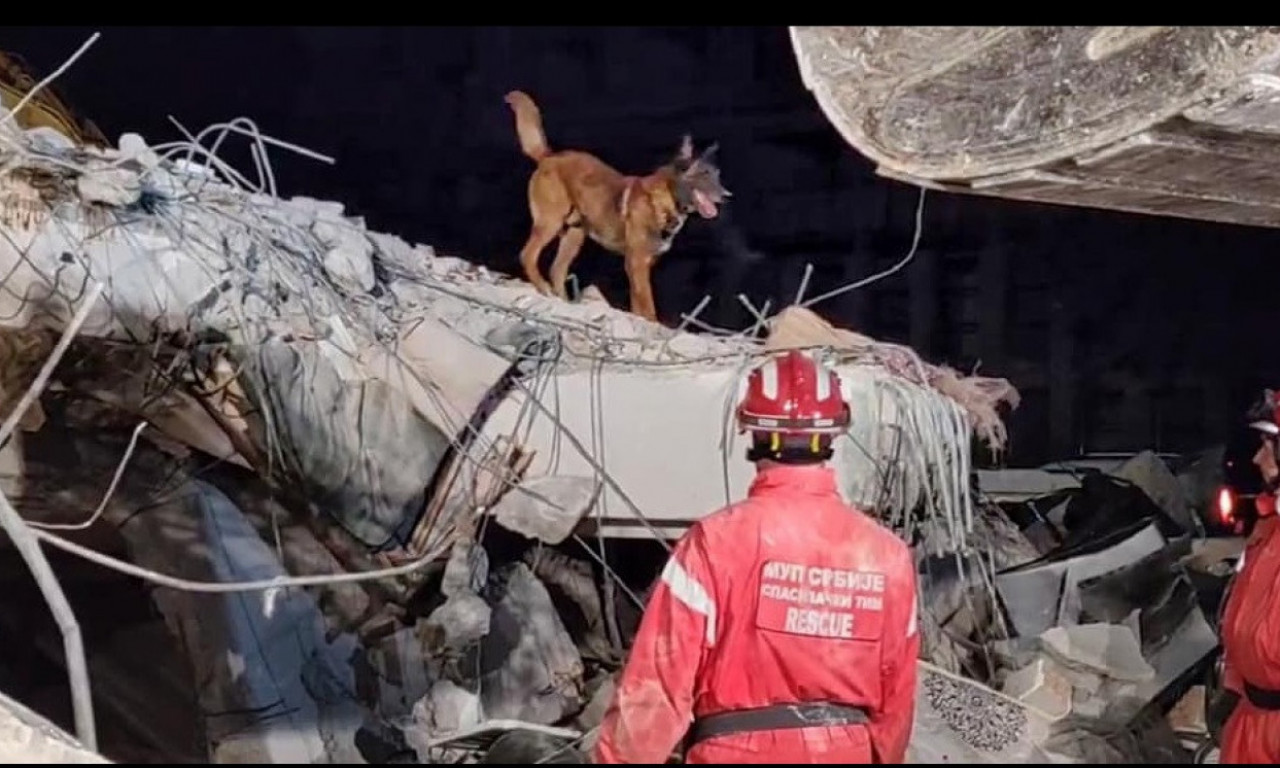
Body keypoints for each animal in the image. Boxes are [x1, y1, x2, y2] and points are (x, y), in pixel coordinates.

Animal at [506, 90, 732, 323]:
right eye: (703, 175)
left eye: (717, 176)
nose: (727, 196)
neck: (667, 200)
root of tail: (549, 156)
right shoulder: (637, 262)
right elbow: (647, 306)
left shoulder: (642, 265)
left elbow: (637, 306)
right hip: (550, 223)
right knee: (528, 255)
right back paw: (542, 288)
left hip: (574, 236)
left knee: (557, 271)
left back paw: (565, 304)